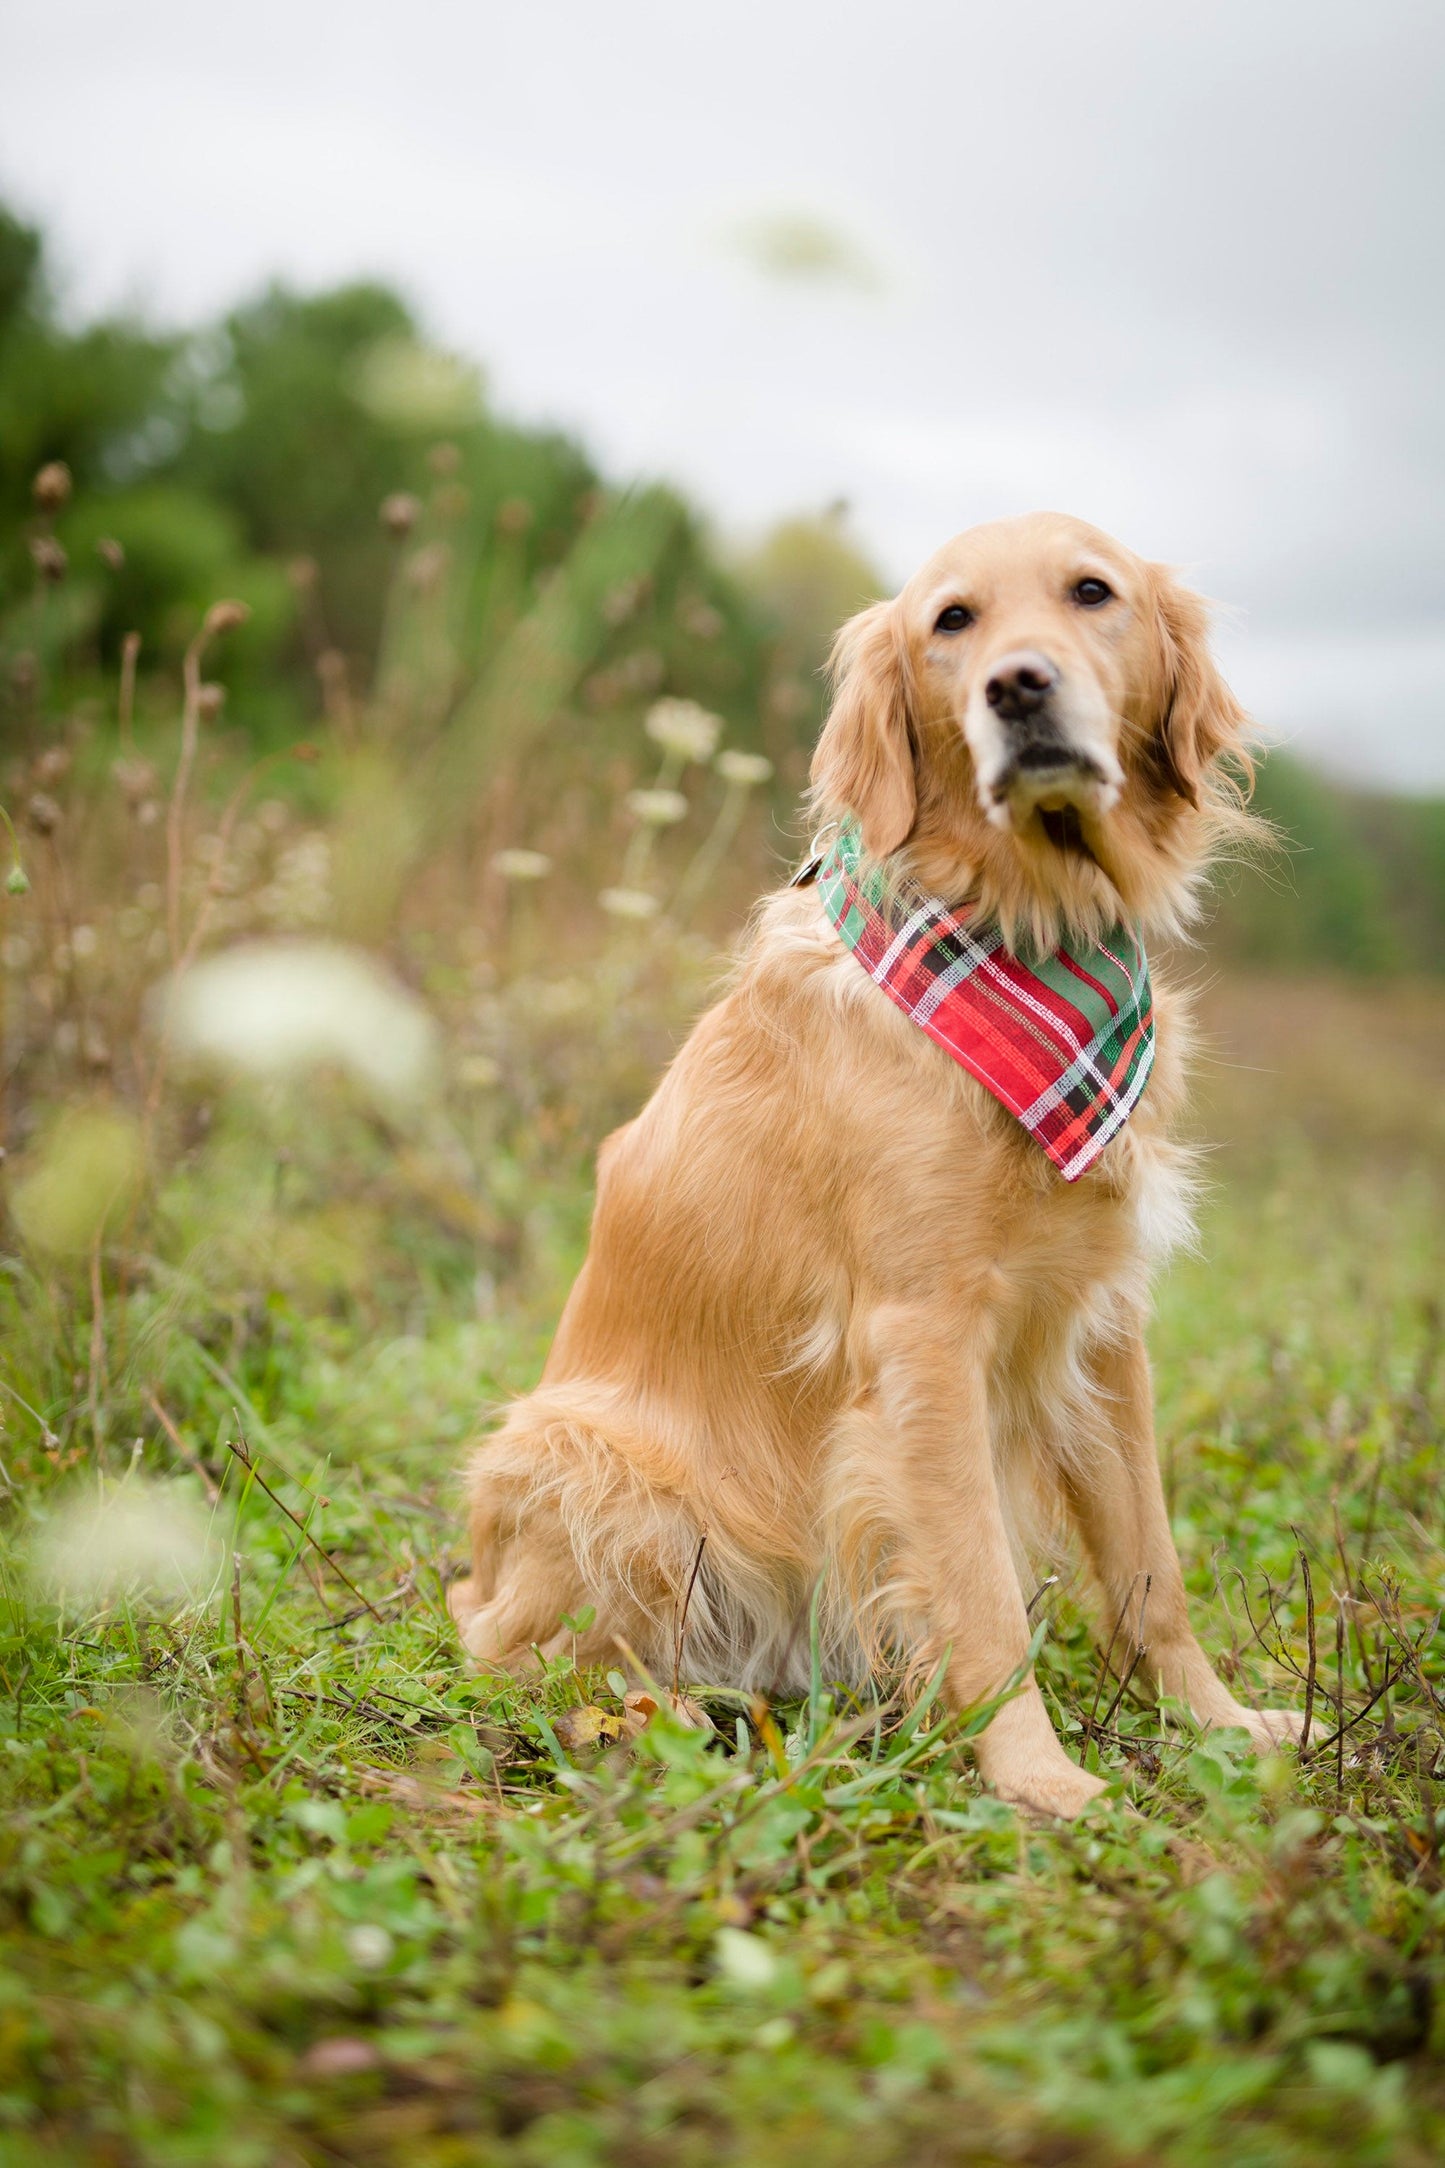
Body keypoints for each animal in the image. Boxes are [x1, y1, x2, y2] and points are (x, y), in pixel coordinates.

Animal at [448, 507, 1299, 1812]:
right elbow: (982, 1596)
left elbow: (1150, 1569)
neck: (1019, 923)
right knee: (517, 1650)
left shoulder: (1102, 1323)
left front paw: (1221, 1722)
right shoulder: (921, 1339)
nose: (1018, 685)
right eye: (951, 619)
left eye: (1089, 592)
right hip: (584, 1457)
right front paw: (1039, 1780)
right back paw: (660, 1716)